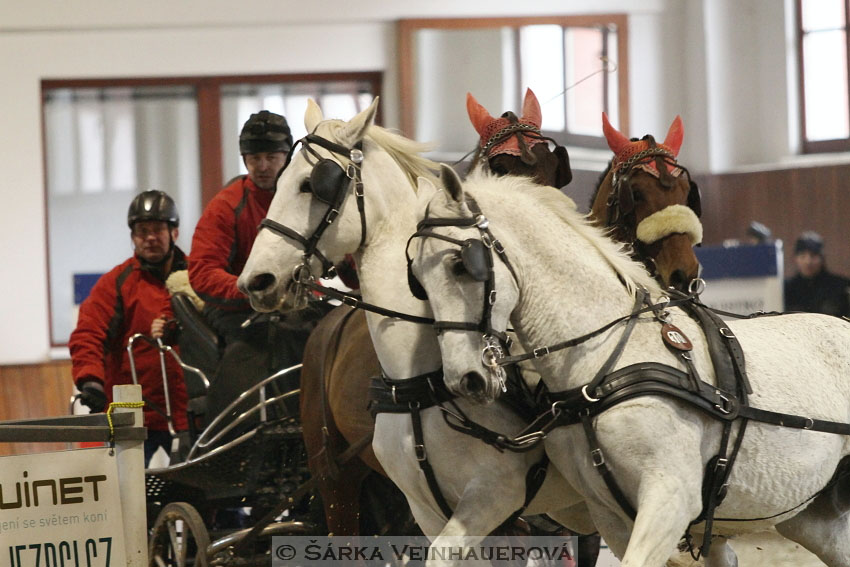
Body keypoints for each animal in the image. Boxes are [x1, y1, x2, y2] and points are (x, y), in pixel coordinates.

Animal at [234, 96, 596, 560]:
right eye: (286, 183)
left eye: (310, 185)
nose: (257, 281)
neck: (423, 378)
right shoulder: (437, 508)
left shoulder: (496, 500)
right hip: (335, 480)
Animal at [410, 168, 848, 567]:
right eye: (417, 280)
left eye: (460, 264)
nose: (464, 379)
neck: (605, 362)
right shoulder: (611, 515)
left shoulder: (671, 497)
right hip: (811, 516)